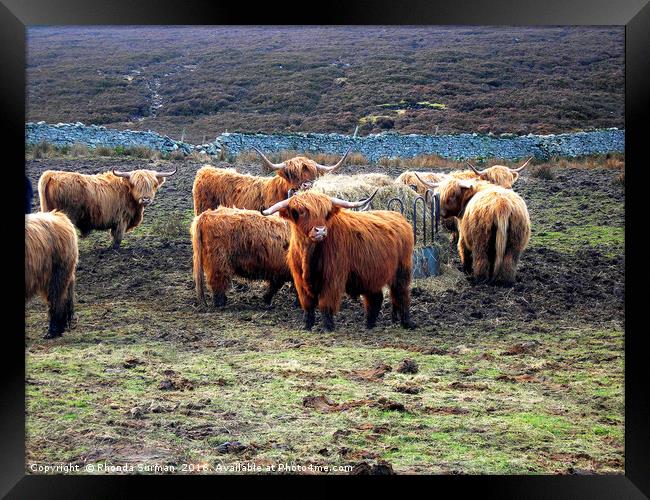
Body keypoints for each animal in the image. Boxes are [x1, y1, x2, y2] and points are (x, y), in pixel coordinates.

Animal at [39, 166, 176, 248]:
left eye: (153, 184)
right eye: (135, 184)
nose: (146, 199)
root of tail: (52, 174)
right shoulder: (122, 219)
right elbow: (117, 237)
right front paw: (114, 249)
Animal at [260, 189, 412, 330]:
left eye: (326, 213)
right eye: (301, 211)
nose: (320, 231)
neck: (309, 255)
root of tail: (398, 216)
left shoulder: (332, 278)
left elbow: (325, 303)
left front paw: (328, 327)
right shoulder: (299, 280)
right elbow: (308, 305)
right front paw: (307, 326)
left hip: (401, 270)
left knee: (401, 294)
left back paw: (407, 323)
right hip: (371, 275)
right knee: (375, 297)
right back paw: (369, 325)